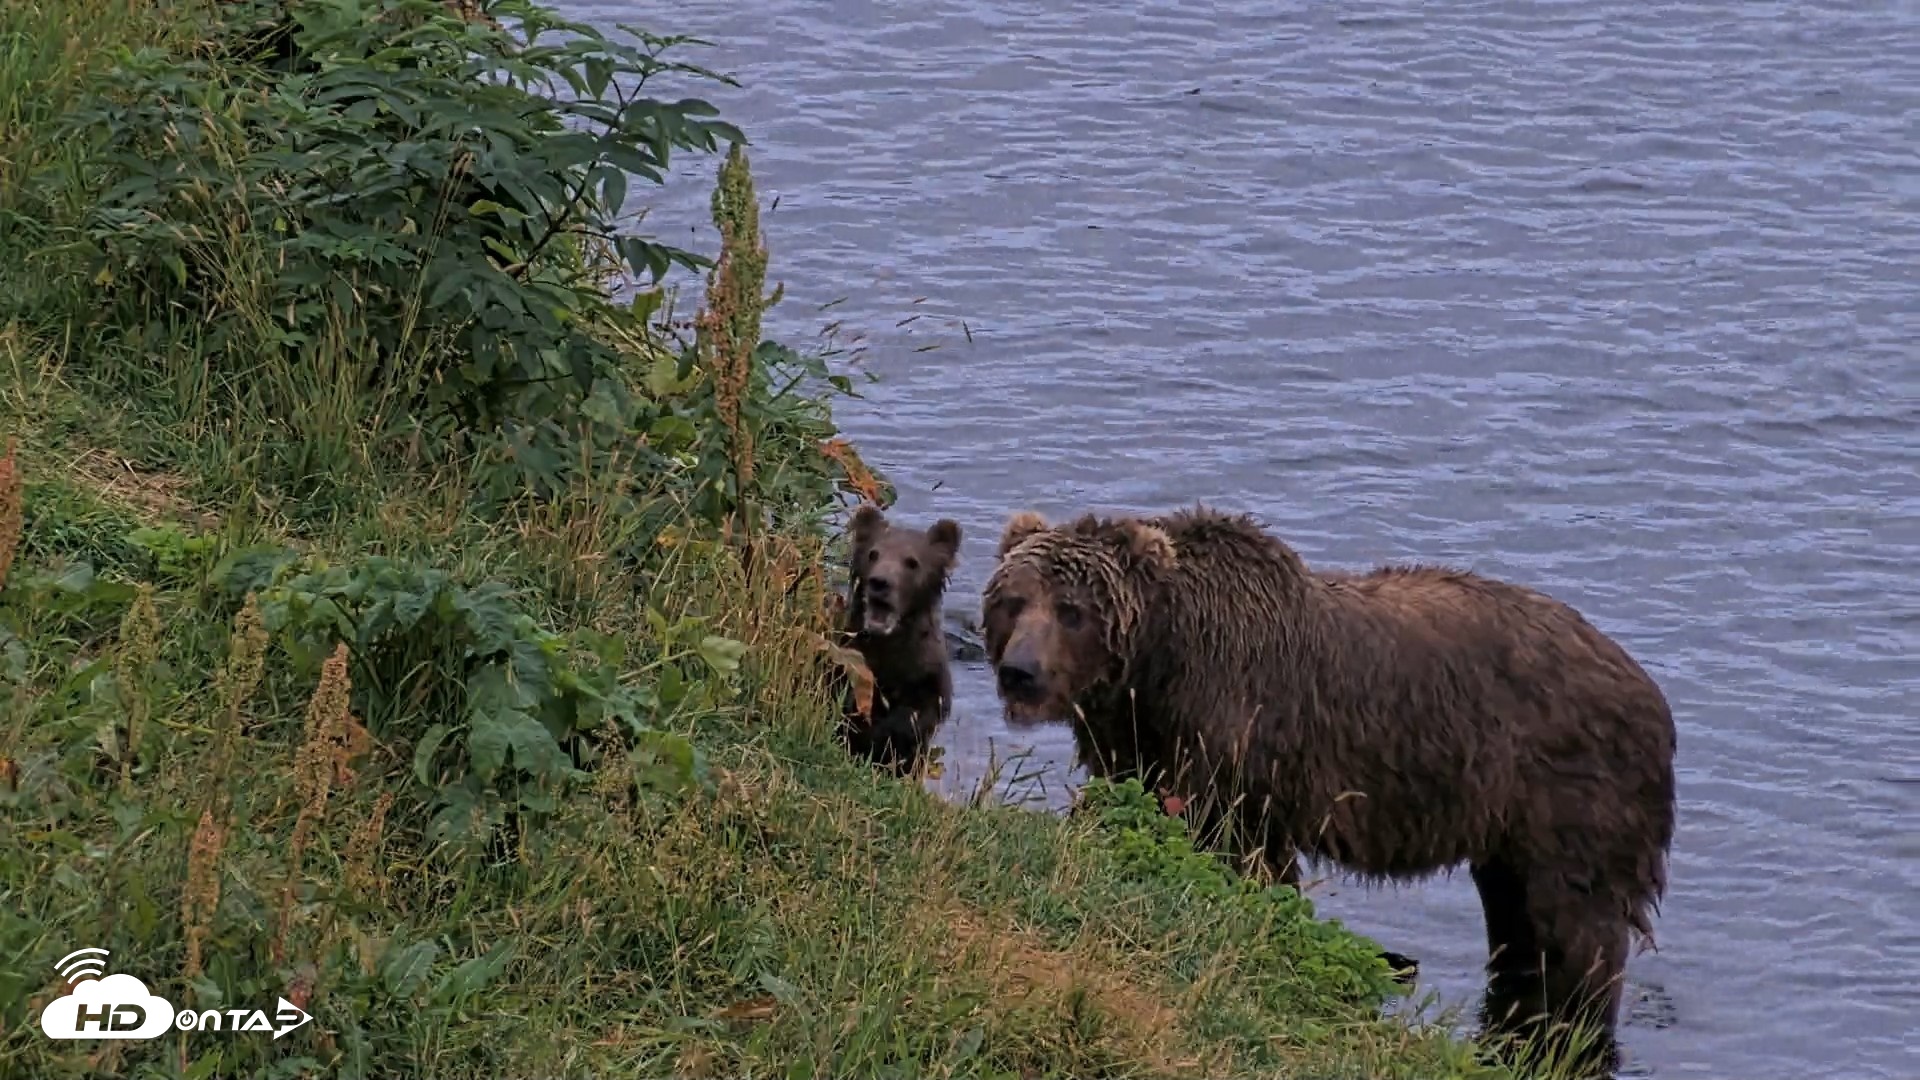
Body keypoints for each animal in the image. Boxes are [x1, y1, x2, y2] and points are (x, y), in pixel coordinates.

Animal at [834, 503, 963, 778]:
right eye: (873, 554)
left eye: (912, 562)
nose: (880, 582)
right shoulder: (850, 660)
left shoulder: (925, 673)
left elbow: (918, 715)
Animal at [980, 504, 1677, 1076]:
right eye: (1013, 601)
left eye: (1072, 610)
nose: (1020, 672)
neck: (1158, 665)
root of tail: (1649, 690)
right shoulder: (1138, 746)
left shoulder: (1235, 743)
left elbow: (1240, 856)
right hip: (1509, 826)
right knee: (1514, 917)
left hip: (1567, 792)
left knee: (1575, 931)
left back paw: (1568, 1030)